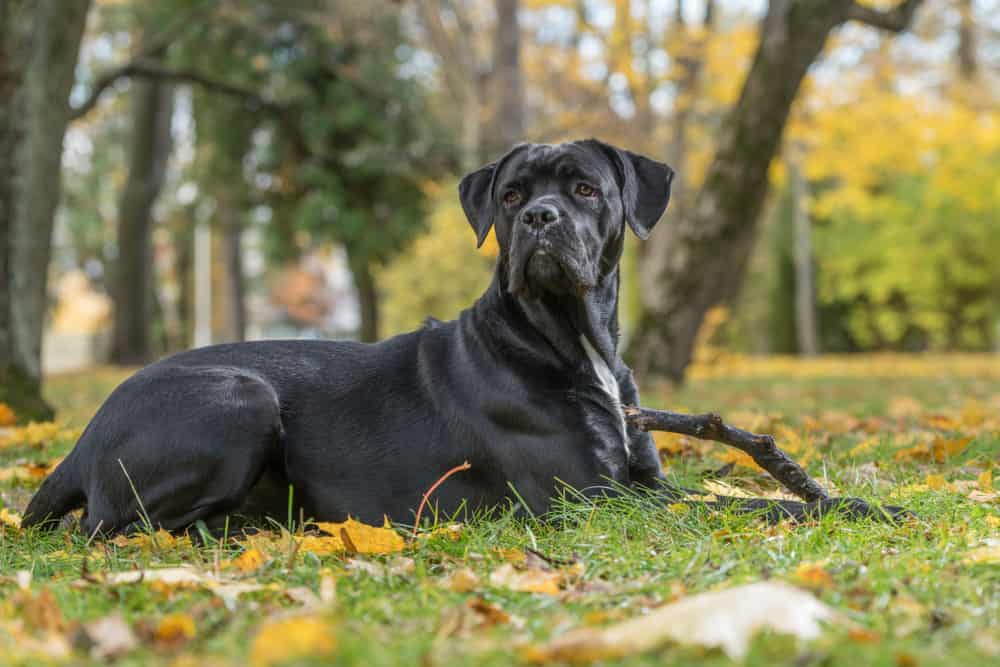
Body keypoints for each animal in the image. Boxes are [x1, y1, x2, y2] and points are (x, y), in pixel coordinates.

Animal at [23, 141, 900, 536]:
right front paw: (867, 502)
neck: (571, 338)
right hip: (241, 399)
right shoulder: (594, 496)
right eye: (511, 195)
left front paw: (838, 493)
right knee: (111, 526)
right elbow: (749, 504)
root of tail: (81, 436)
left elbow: (728, 490)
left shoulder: (640, 478)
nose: (539, 217)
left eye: (585, 187)